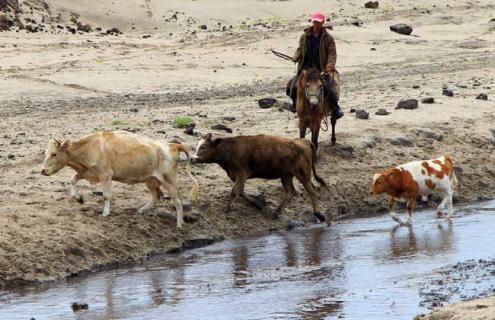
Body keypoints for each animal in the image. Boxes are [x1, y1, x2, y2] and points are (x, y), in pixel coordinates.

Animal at [41, 130, 200, 228]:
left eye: (54, 154)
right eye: (46, 153)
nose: (43, 171)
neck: (90, 148)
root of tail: (172, 145)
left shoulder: (106, 175)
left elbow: (106, 196)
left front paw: (105, 213)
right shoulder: (89, 172)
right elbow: (73, 180)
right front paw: (78, 198)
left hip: (169, 179)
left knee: (177, 200)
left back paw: (179, 224)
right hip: (150, 179)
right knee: (157, 196)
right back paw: (141, 210)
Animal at [193, 133, 330, 222]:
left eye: (203, 147)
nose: (192, 158)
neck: (229, 149)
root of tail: (303, 141)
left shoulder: (241, 173)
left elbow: (235, 191)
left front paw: (227, 208)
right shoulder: (238, 176)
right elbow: (241, 191)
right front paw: (258, 204)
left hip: (303, 173)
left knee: (312, 192)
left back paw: (319, 214)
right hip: (286, 175)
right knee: (291, 192)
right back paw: (276, 213)